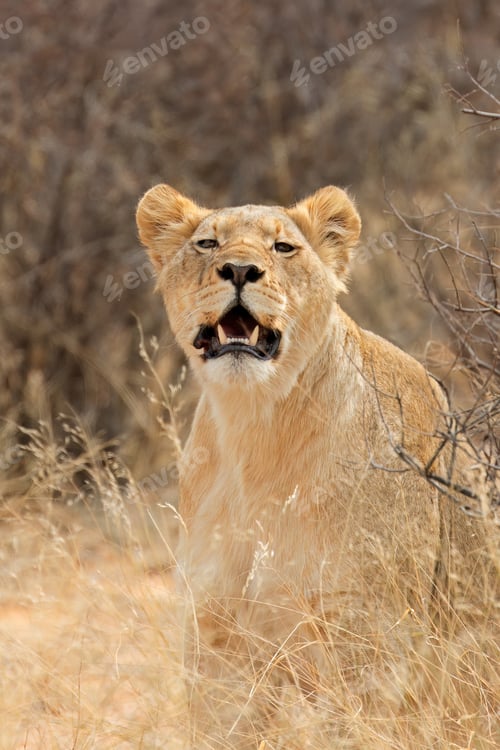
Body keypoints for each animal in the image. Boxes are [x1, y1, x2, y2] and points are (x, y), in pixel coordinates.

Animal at [136, 185, 495, 748]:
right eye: (207, 243)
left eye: (283, 247)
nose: (239, 270)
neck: (256, 429)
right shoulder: (215, 629)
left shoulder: (366, 631)